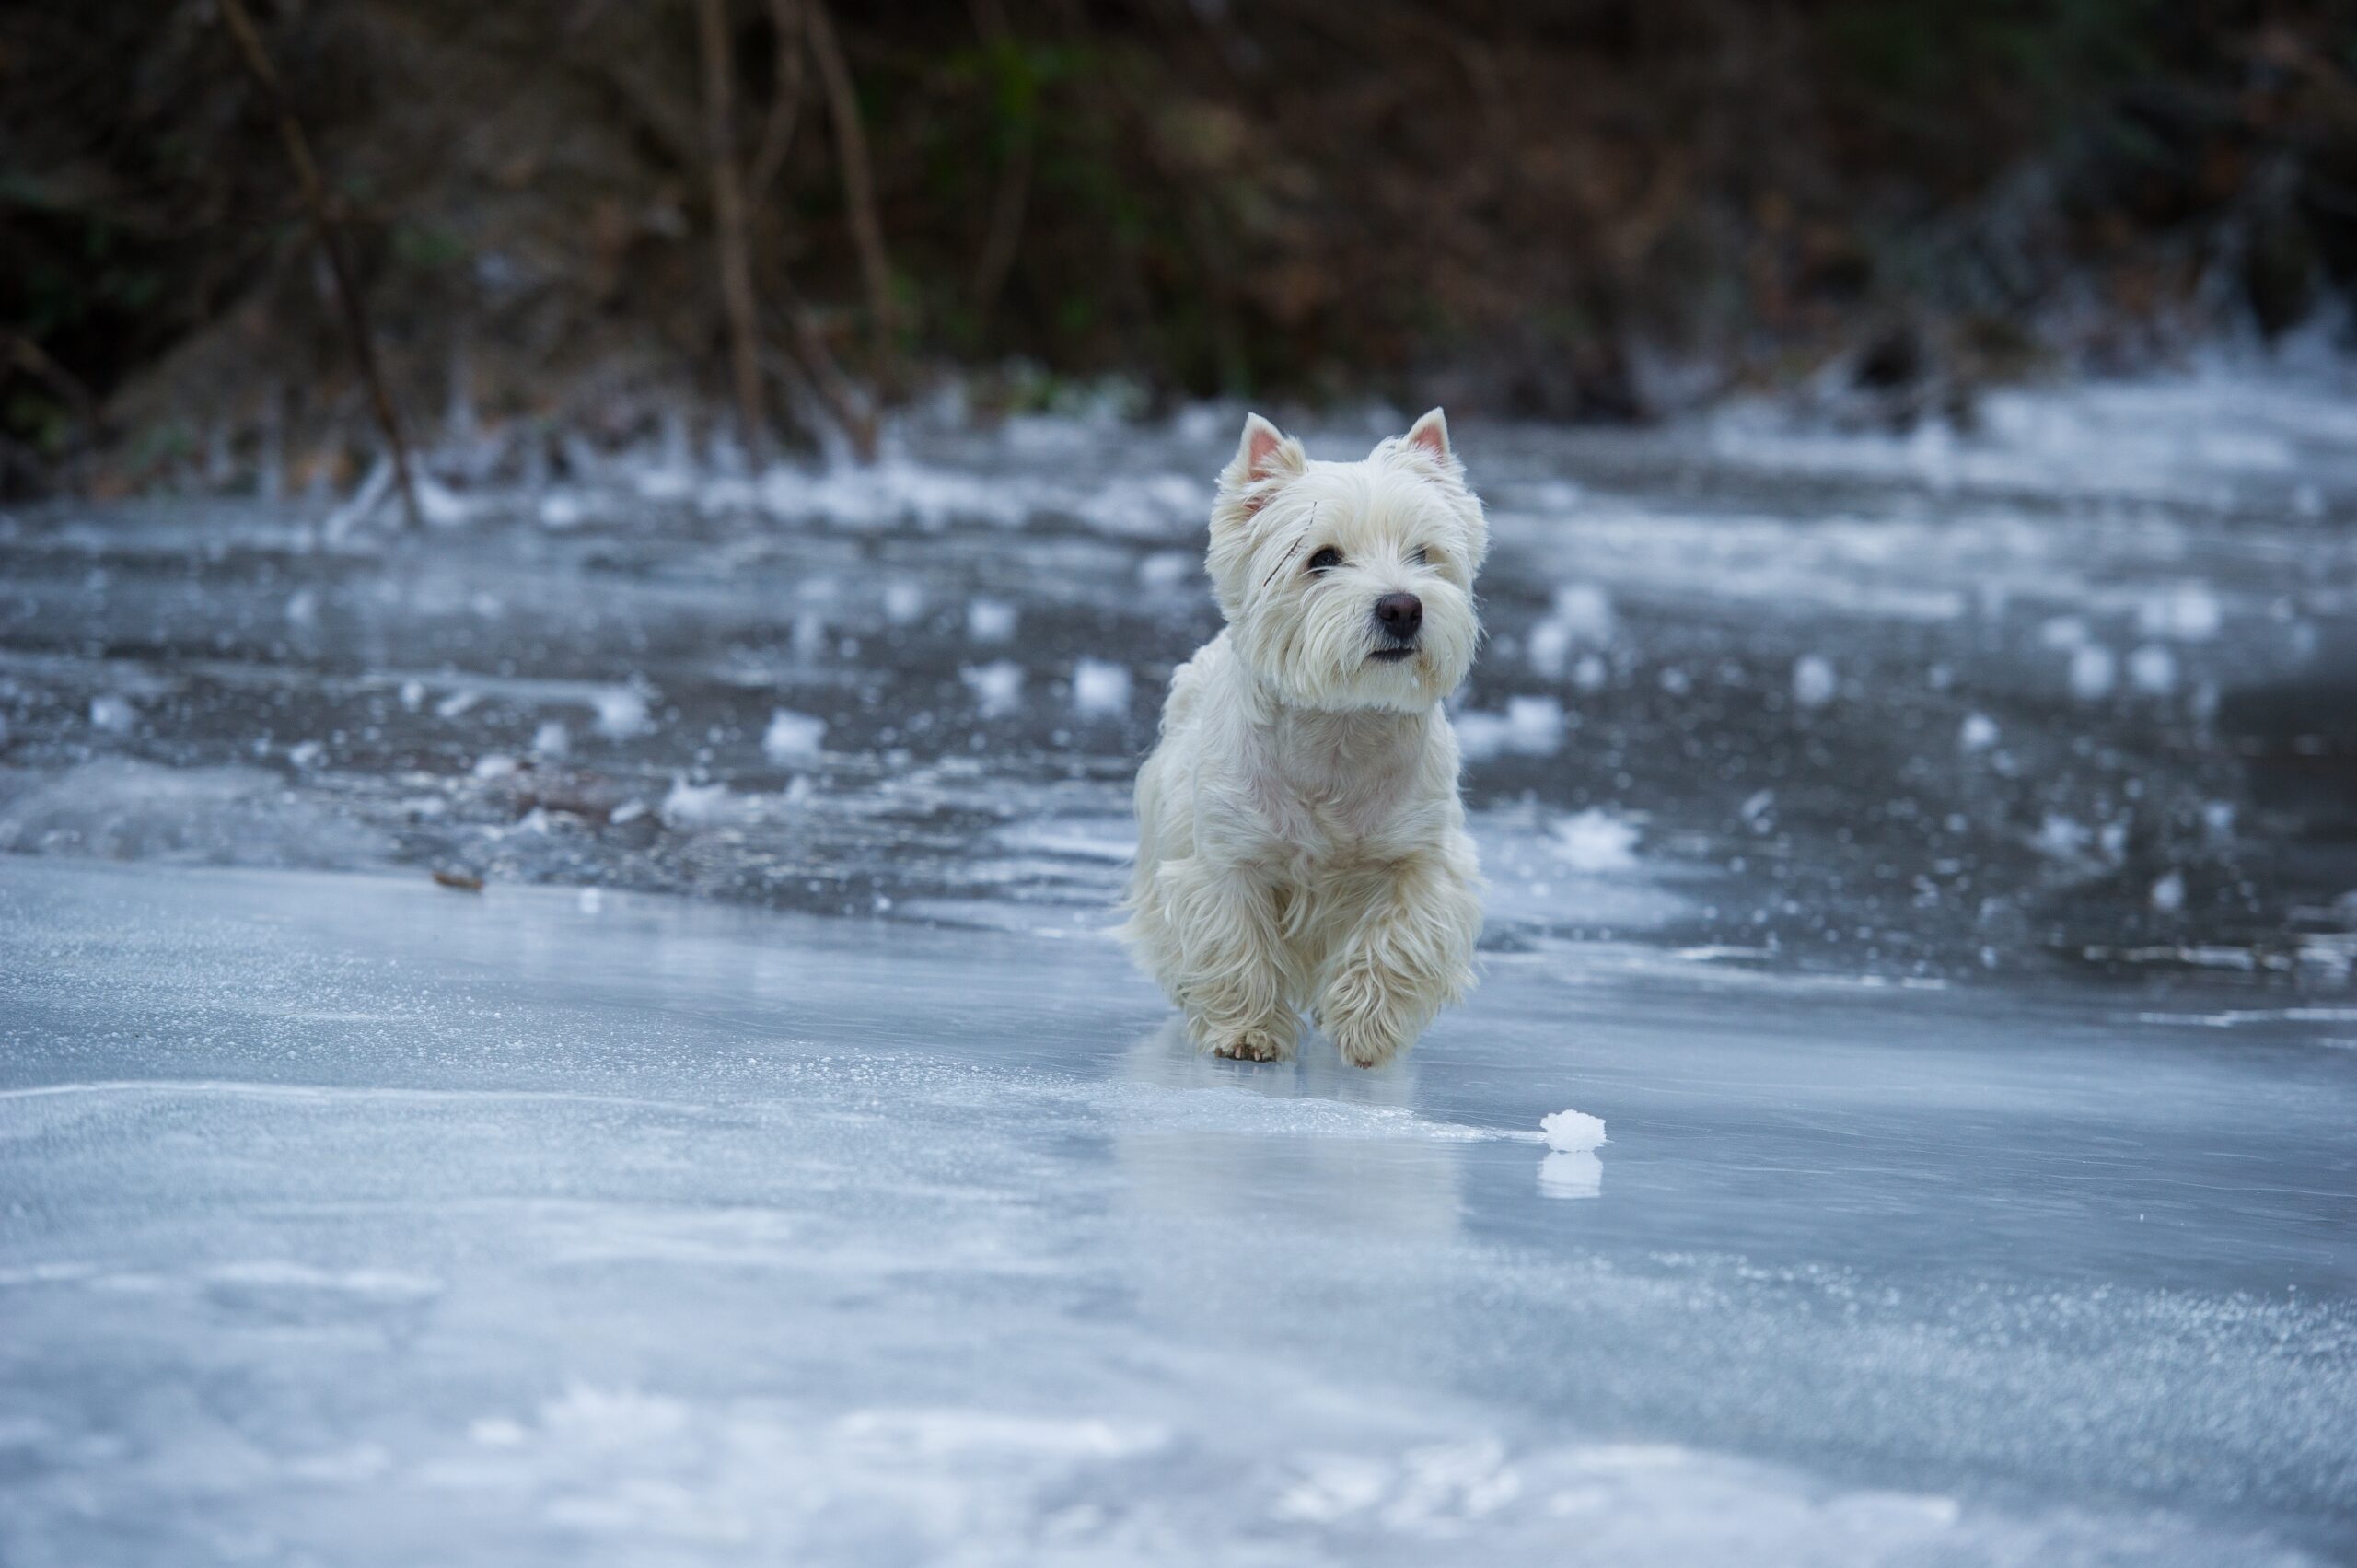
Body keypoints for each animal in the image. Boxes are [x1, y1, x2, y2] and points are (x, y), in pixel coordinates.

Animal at [1126, 405, 1489, 1065]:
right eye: (1322, 558)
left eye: (1424, 554)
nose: (1403, 607)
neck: (1341, 728)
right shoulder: (1226, 858)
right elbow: (1235, 944)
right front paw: (1247, 1032)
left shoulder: (1420, 858)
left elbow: (1400, 936)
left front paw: (1367, 1029)